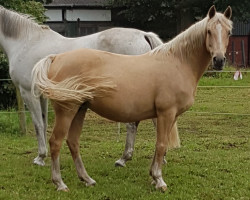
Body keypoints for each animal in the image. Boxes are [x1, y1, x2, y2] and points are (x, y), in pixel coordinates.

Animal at [0, 5, 164, 166]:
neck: (28, 43)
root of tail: (144, 35)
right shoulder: (42, 94)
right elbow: (44, 123)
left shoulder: (28, 92)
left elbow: (37, 124)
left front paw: (40, 157)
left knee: (132, 124)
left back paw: (124, 158)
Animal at [31, 5, 232, 191]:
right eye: (209, 31)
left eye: (228, 32)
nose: (219, 60)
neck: (177, 62)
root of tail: (56, 58)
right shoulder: (166, 113)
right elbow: (161, 144)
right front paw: (159, 180)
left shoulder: (169, 116)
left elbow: (160, 144)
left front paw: (153, 176)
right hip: (67, 111)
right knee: (55, 142)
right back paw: (60, 183)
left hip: (80, 109)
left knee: (73, 142)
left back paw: (87, 179)